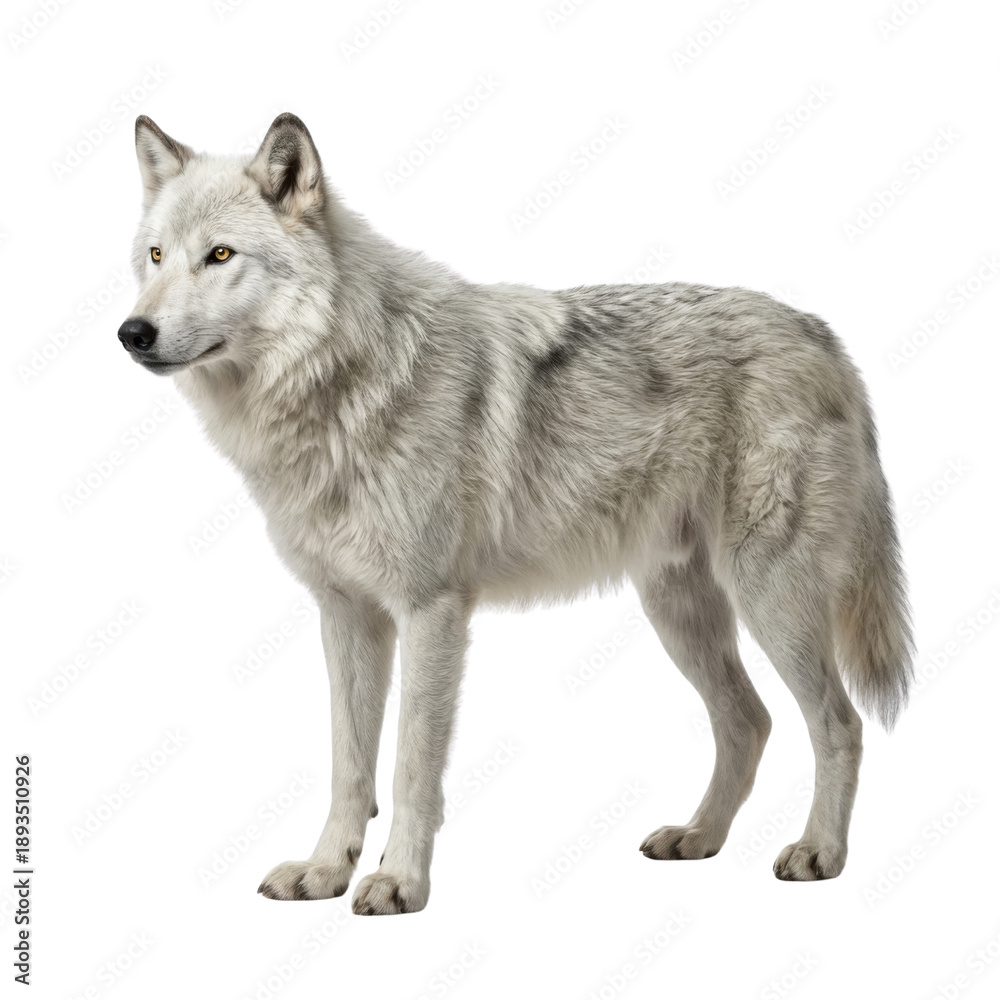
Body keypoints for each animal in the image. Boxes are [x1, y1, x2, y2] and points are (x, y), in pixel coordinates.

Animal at [118, 113, 913, 915]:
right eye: (154, 256)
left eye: (220, 255)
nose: (132, 332)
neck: (343, 384)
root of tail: (824, 337)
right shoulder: (346, 614)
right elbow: (349, 766)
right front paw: (324, 872)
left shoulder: (431, 610)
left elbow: (409, 769)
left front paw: (399, 882)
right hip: (678, 611)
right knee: (749, 721)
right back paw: (697, 837)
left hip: (769, 600)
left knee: (838, 722)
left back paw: (820, 852)